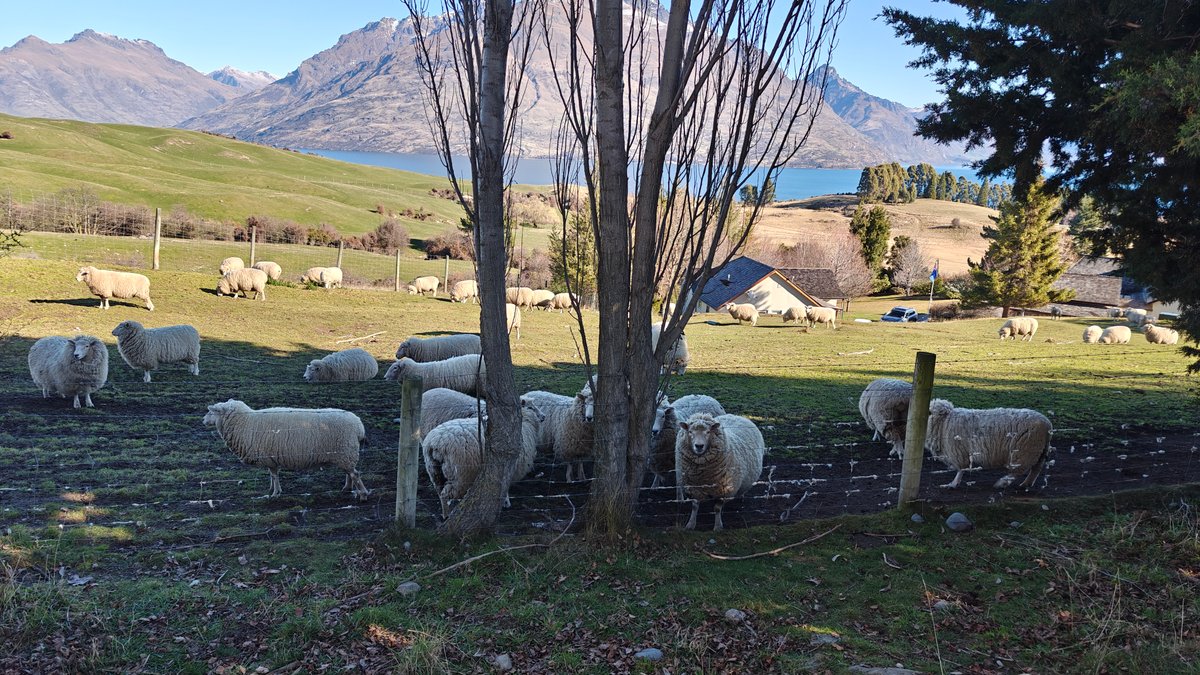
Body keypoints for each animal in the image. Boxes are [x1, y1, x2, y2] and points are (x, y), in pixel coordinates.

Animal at [202, 399, 369, 500]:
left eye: (211, 412)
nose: (203, 420)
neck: (245, 422)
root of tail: (359, 425)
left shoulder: (270, 458)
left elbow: (275, 476)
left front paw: (275, 493)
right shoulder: (271, 458)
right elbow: (272, 475)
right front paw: (272, 490)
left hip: (346, 451)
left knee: (355, 474)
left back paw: (362, 495)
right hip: (344, 454)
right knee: (349, 473)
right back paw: (347, 488)